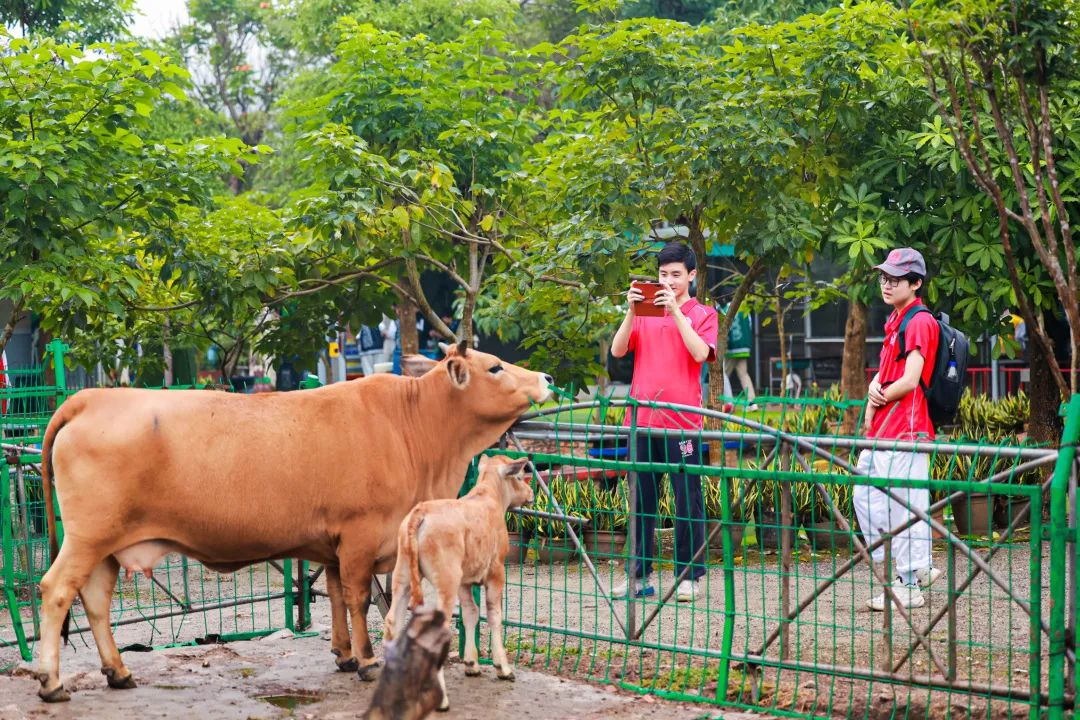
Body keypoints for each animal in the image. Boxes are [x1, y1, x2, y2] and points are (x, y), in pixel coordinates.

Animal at [386, 455, 533, 708]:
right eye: (521, 476)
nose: (531, 493)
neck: (488, 495)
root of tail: (420, 512)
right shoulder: (496, 571)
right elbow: (494, 615)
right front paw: (503, 668)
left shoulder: (465, 580)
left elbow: (470, 613)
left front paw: (472, 664)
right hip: (446, 581)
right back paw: (441, 700)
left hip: (403, 575)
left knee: (393, 620)